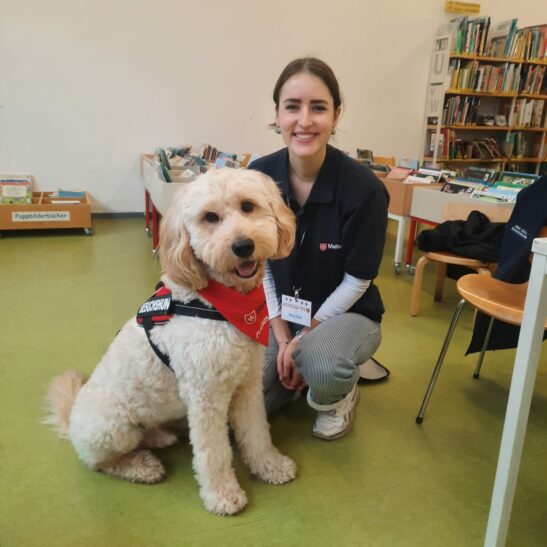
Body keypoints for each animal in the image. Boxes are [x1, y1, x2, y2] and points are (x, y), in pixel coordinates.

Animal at [45, 167, 298, 512]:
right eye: (210, 217)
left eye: (248, 206)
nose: (243, 246)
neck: (216, 305)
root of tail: (70, 420)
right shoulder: (206, 396)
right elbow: (213, 452)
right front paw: (222, 494)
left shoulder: (247, 385)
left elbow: (257, 431)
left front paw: (270, 466)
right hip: (112, 426)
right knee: (99, 463)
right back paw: (141, 466)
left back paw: (160, 438)